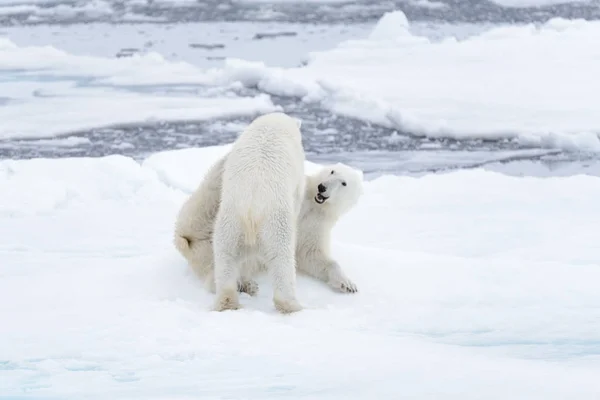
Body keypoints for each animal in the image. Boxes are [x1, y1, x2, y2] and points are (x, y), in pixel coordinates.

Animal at [171, 157, 364, 300]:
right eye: (331, 171)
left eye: (344, 183)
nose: (322, 187)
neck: (314, 204)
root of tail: (187, 240)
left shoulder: (316, 224)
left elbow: (311, 254)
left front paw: (347, 284)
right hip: (202, 215)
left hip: (205, 253)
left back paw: (245, 284)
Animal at [211, 111, 304, 312]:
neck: (272, 124)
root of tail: (250, 210)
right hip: (275, 224)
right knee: (282, 259)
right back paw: (292, 305)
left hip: (229, 224)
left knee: (225, 258)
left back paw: (227, 301)